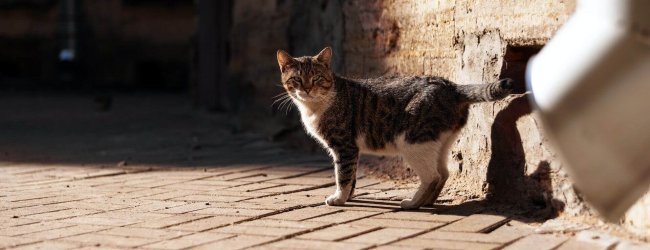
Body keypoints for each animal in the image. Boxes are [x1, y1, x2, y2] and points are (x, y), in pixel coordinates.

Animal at [274, 47, 512, 209]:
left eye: (316, 78)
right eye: (297, 79)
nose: (306, 89)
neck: (314, 107)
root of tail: (452, 86)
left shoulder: (344, 146)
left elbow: (343, 174)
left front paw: (339, 199)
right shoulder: (351, 149)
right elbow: (351, 176)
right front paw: (348, 197)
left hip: (413, 141)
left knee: (432, 176)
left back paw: (412, 204)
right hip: (440, 142)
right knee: (444, 173)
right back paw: (427, 202)